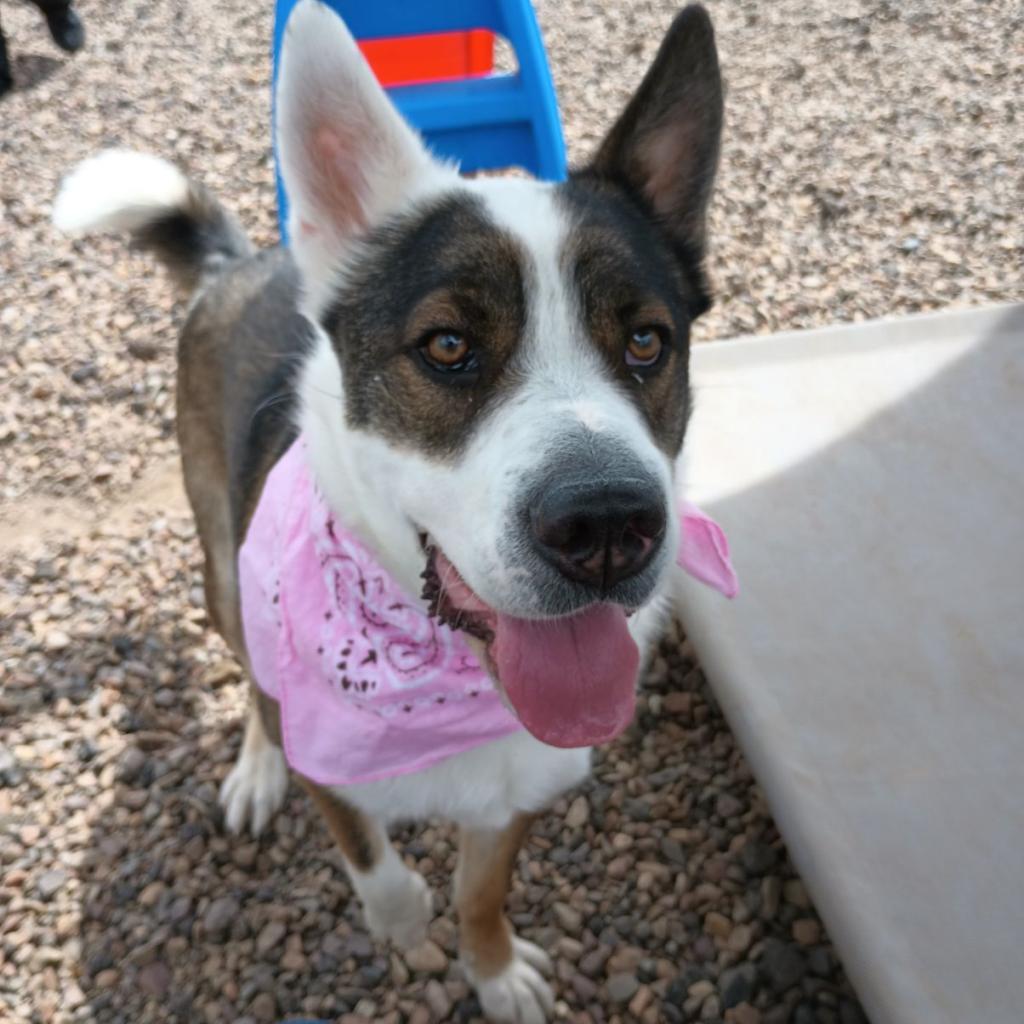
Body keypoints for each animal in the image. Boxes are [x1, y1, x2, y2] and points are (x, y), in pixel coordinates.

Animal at [56, 4, 724, 1019]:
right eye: (446, 346)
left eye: (648, 341)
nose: (608, 526)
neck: (442, 665)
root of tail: (238, 265)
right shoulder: (327, 752)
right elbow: (382, 870)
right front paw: (404, 931)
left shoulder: (521, 783)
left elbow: (478, 888)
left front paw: (493, 970)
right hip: (222, 564)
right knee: (249, 672)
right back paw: (255, 771)